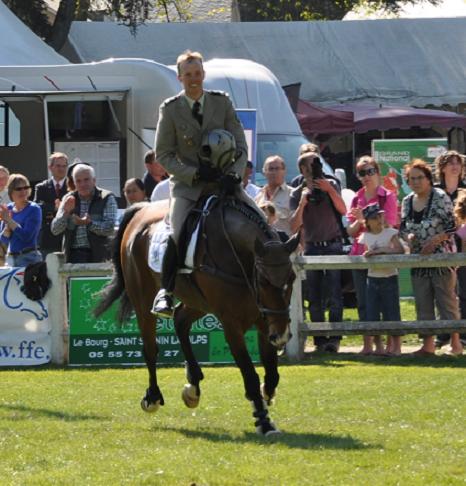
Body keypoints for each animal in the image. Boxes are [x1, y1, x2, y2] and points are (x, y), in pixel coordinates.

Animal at [94, 196, 298, 434]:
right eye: (264, 281)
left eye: (292, 278)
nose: (282, 336)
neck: (239, 259)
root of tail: (142, 209)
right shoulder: (232, 323)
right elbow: (249, 374)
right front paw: (263, 420)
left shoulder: (266, 320)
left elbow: (272, 372)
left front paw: (267, 394)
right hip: (143, 299)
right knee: (151, 348)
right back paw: (153, 396)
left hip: (198, 301)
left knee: (180, 320)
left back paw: (193, 385)